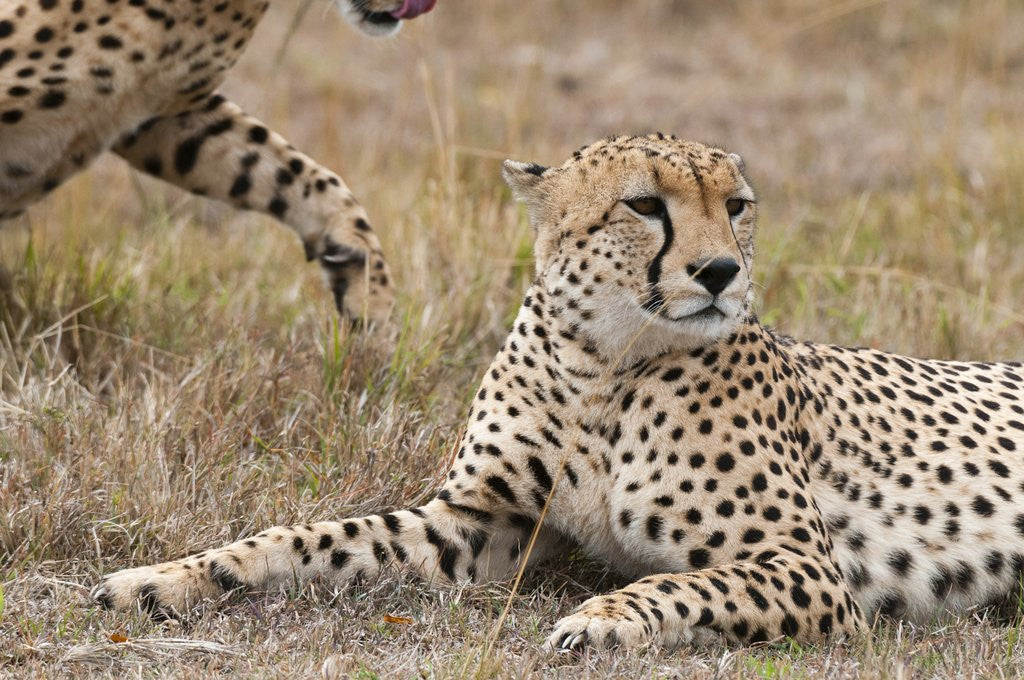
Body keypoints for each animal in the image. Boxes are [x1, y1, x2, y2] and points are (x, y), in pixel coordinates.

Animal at [90, 134, 1024, 653]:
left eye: (737, 205)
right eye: (644, 205)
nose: (721, 271)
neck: (602, 364)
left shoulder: (806, 566)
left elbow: (681, 583)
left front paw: (604, 618)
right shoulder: (477, 523)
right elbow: (316, 537)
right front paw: (171, 577)